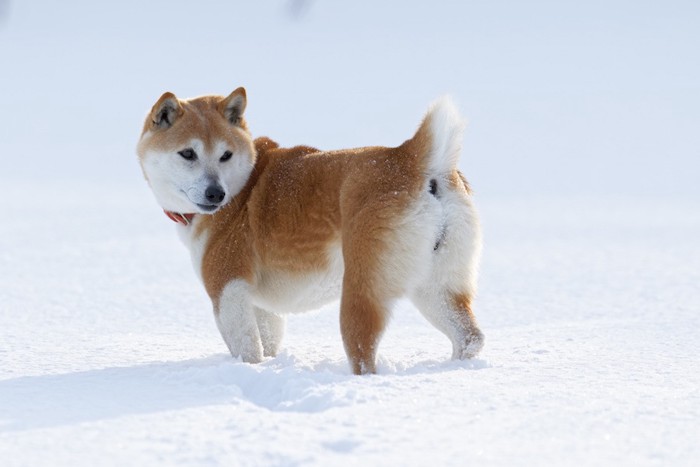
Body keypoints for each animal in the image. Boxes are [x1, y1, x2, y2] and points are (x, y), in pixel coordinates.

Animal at [139, 87, 484, 372]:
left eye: (225, 155)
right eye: (188, 153)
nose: (215, 194)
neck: (244, 186)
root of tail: (407, 158)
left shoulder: (228, 291)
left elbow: (248, 350)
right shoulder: (261, 306)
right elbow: (269, 341)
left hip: (361, 293)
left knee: (364, 354)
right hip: (436, 288)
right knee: (471, 338)